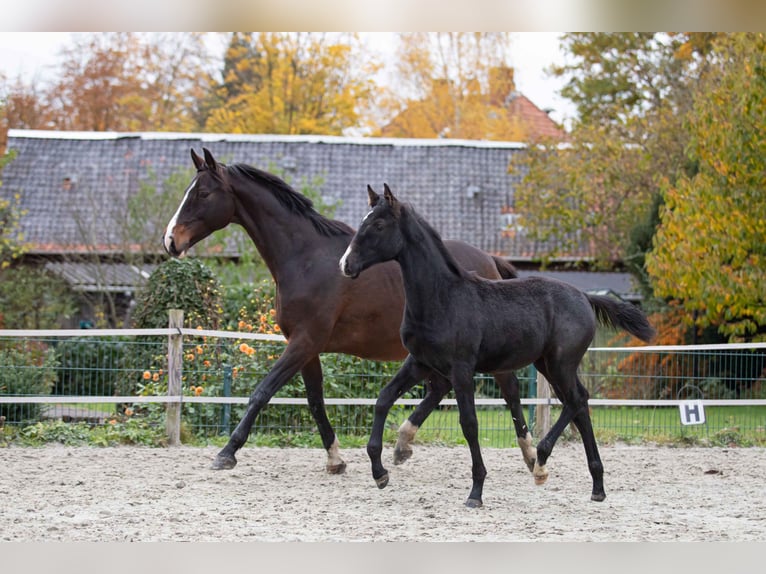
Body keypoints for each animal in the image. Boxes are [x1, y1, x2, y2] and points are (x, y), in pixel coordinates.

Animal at [163, 148, 538, 474]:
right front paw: (335, 459)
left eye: (203, 194)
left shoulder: (303, 342)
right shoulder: (307, 347)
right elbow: (315, 402)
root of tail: (489, 261)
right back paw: (403, 444)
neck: (306, 258)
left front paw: (227, 452)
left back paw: (530, 453)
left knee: (509, 391)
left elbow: (262, 392)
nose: (170, 241)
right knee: (440, 388)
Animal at [340, 184, 656, 507]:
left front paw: (476, 491)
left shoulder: (462, 368)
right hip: (547, 364)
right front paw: (380, 473)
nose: (346, 265)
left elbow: (469, 424)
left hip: (561, 363)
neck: (442, 298)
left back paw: (541, 461)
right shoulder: (419, 361)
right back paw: (596, 486)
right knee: (578, 405)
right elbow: (383, 399)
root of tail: (584, 296)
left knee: (578, 399)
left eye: (378, 225)